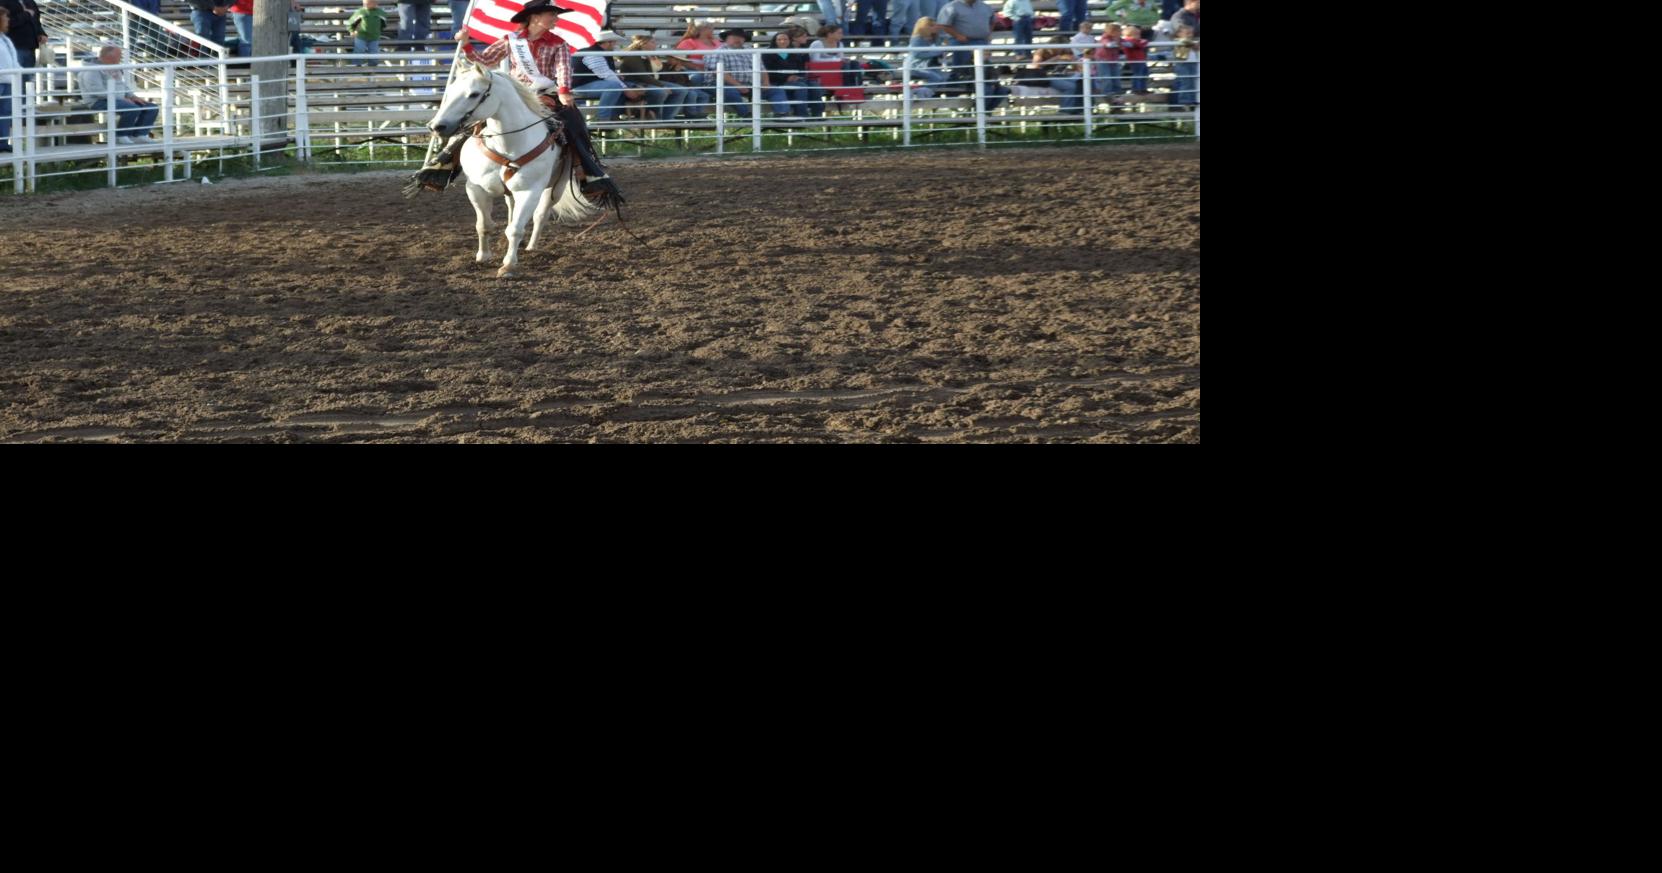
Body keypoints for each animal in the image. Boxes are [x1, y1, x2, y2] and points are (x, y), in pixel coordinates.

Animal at [428, 62, 604, 276]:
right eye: (451, 90)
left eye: (474, 94)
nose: (437, 126)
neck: (507, 144)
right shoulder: (475, 188)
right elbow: (483, 225)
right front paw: (483, 256)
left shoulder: (529, 191)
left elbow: (516, 229)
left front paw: (508, 265)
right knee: (512, 211)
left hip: (557, 186)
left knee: (540, 216)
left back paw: (531, 247)